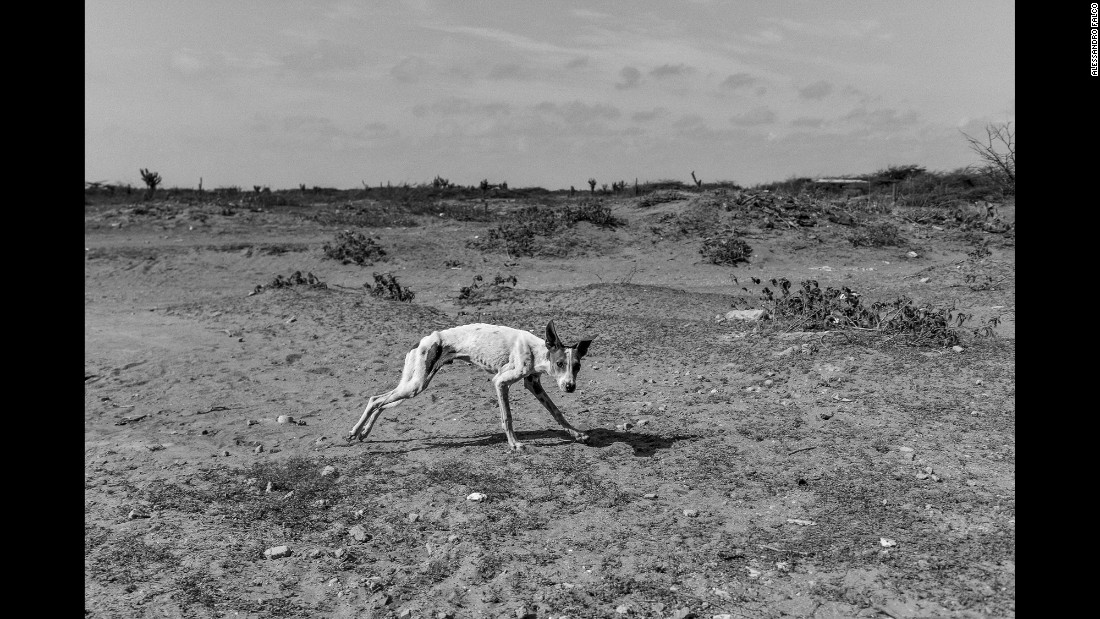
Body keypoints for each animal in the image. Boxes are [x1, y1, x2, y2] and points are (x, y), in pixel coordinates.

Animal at [347, 325, 598, 450]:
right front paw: (514, 444)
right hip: (415, 386)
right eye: (560, 364)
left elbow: (557, 413)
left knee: (381, 401)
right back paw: (354, 432)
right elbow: (507, 417)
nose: (570, 386)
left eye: (577, 366)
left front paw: (577, 434)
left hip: (415, 385)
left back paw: (364, 432)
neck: (536, 350)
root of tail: (424, 340)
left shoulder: (533, 384)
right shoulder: (500, 382)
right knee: (375, 400)